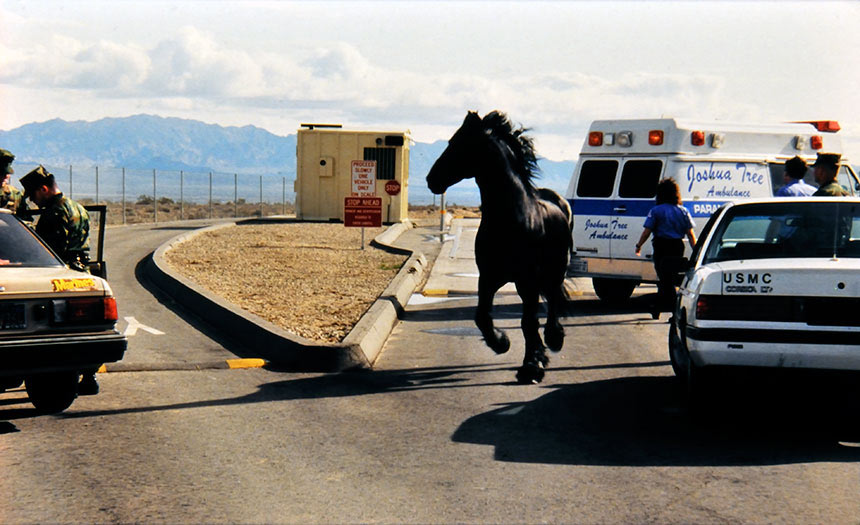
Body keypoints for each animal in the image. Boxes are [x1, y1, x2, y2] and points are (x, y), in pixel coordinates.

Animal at [426, 110, 576, 382]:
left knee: (552, 302)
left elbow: (528, 322)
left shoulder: (527, 280)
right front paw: (501, 342)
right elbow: (482, 317)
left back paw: (554, 339)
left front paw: (531, 366)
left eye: (458, 144)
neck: (511, 219)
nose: (432, 179)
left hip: (554, 272)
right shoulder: (488, 277)